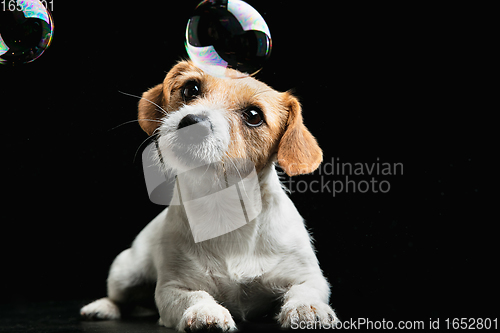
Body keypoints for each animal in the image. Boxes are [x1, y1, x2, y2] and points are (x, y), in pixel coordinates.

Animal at [81, 59, 340, 330]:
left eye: (254, 116)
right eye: (191, 89)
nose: (194, 123)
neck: (224, 209)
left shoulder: (308, 276)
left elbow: (304, 290)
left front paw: (307, 308)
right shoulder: (172, 288)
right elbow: (195, 295)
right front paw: (205, 311)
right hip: (125, 271)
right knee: (119, 297)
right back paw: (102, 307)